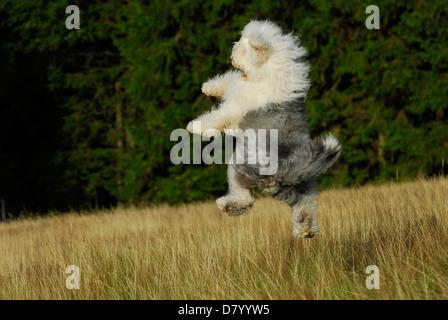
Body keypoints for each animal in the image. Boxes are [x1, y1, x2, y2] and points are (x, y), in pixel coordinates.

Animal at [187, 20, 342, 238]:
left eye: (243, 49)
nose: (230, 58)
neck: (269, 73)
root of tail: (284, 169)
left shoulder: (236, 108)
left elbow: (218, 116)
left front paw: (195, 126)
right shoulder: (240, 86)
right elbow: (230, 80)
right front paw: (209, 87)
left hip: (239, 167)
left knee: (245, 198)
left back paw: (225, 205)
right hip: (299, 187)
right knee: (302, 208)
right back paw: (306, 231)